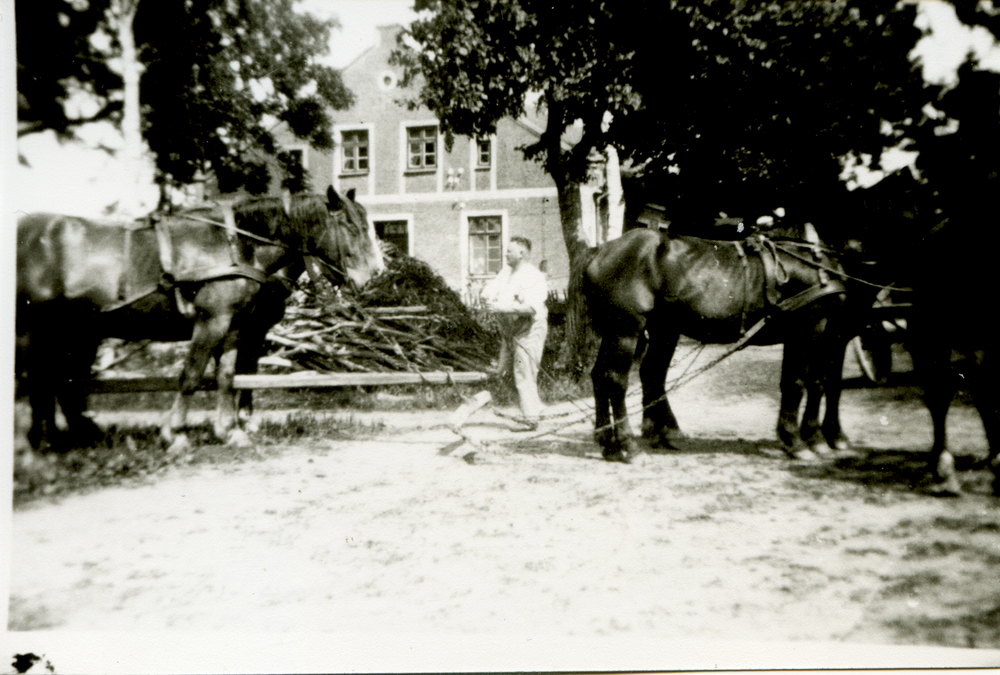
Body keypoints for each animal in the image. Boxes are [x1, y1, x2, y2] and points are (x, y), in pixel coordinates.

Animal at [16, 185, 382, 452]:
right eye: (350, 226)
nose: (374, 275)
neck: (235, 244)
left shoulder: (234, 325)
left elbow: (227, 376)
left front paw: (229, 430)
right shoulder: (213, 321)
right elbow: (192, 374)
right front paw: (175, 433)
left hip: (69, 331)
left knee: (56, 382)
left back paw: (66, 438)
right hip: (42, 331)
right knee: (44, 381)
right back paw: (47, 442)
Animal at [572, 223, 844, 464]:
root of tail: (600, 250)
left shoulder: (810, 332)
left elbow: (811, 381)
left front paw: (807, 439)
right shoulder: (810, 327)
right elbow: (799, 383)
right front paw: (799, 443)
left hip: (641, 330)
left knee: (609, 376)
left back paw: (611, 444)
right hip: (626, 330)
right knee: (615, 380)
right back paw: (628, 446)